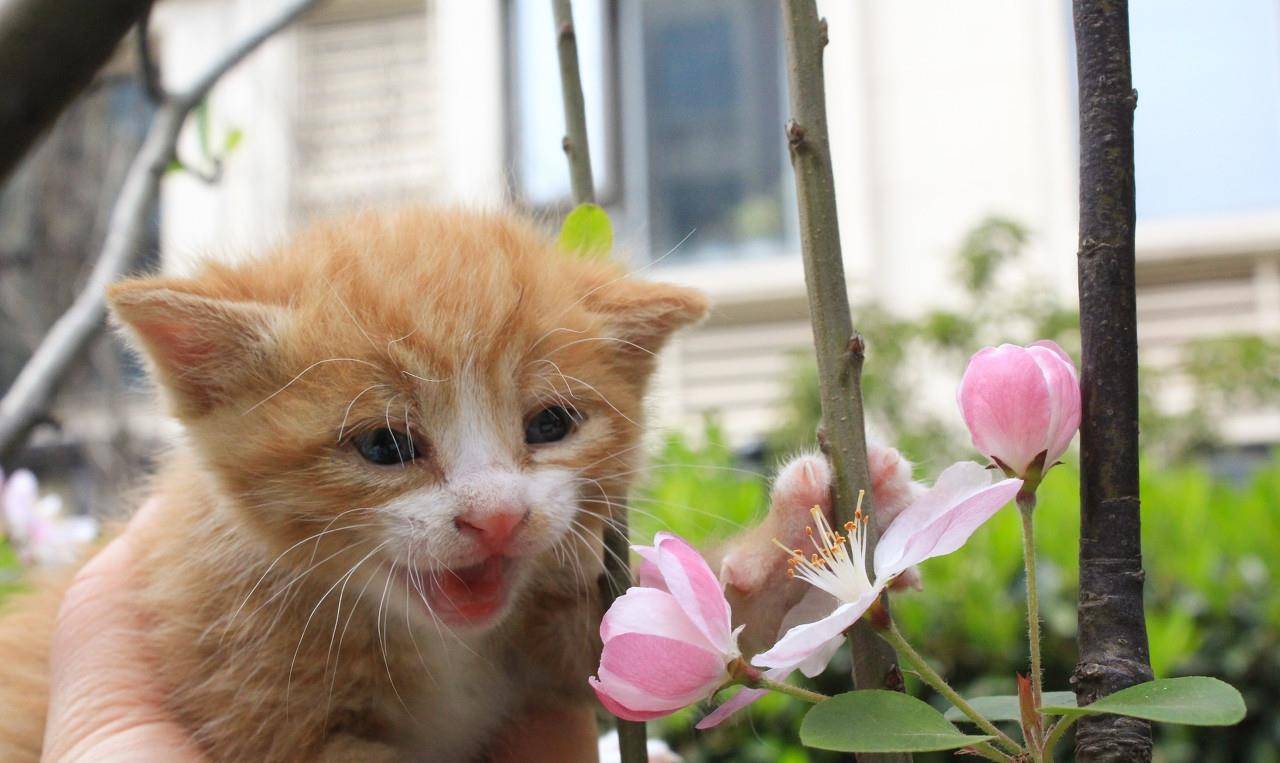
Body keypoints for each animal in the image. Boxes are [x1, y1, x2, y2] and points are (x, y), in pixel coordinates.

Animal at [0, 208, 911, 763]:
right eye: (384, 444)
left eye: (549, 424)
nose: (497, 517)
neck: (438, 645)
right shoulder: (239, 691)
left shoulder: (560, 640)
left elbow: (682, 635)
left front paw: (791, 538)